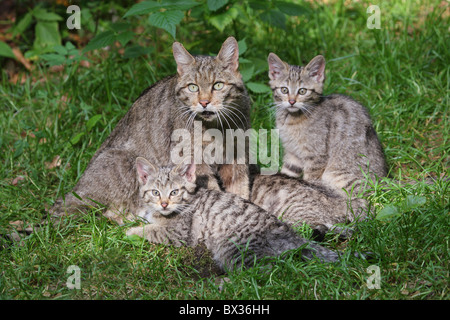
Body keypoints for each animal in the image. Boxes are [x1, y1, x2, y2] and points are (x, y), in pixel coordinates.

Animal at [51, 37, 253, 221]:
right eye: (193, 87)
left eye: (218, 85)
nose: (204, 102)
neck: (217, 127)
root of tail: (74, 190)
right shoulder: (194, 161)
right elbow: (213, 192)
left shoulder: (237, 155)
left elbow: (240, 188)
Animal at [125, 159, 338, 272]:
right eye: (155, 192)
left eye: (174, 192)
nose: (164, 204)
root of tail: (288, 233)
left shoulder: (179, 233)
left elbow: (152, 231)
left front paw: (130, 232)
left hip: (233, 247)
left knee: (262, 274)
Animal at [268, 53, 386, 201]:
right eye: (284, 90)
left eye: (302, 91)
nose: (292, 101)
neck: (291, 119)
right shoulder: (292, 154)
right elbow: (287, 173)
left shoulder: (317, 157)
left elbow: (310, 180)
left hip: (338, 174)